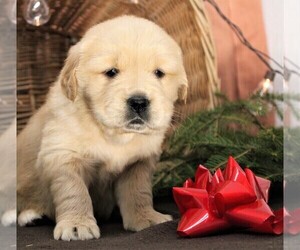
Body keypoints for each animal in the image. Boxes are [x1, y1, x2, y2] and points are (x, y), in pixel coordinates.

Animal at [17, 15, 188, 240]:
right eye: (111, 72)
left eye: (158, 73)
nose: (139, 102)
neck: (114, 135)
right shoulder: (62, 154)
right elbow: (74, 191)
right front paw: (76, 225)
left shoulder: (139, 162)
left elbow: (139, 191)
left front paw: (147, 218)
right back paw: (30, 215)